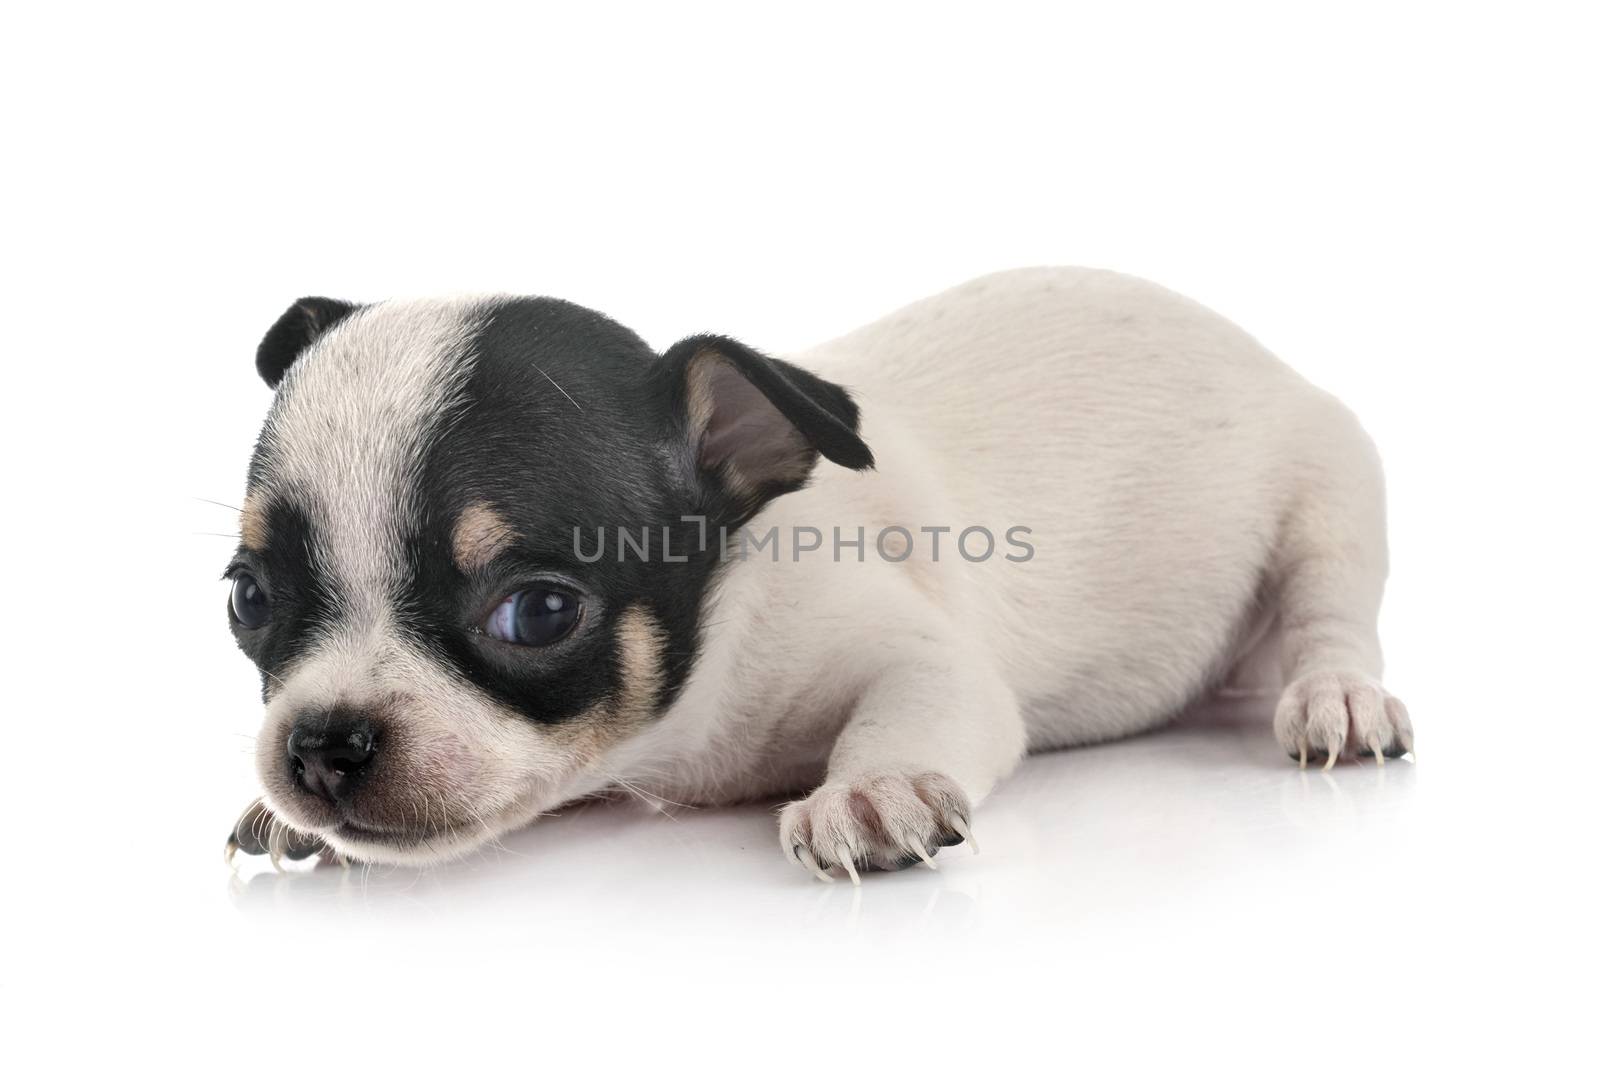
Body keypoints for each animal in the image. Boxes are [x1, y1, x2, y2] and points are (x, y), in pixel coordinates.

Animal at [225, 267, 1414, 870]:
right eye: (248, 600)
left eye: (538, 613)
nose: (322, 745)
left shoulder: (922, 664)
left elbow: (906, 711)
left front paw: (874, 789)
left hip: (1330, 494)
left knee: (1330, 612)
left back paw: (1338, 696)